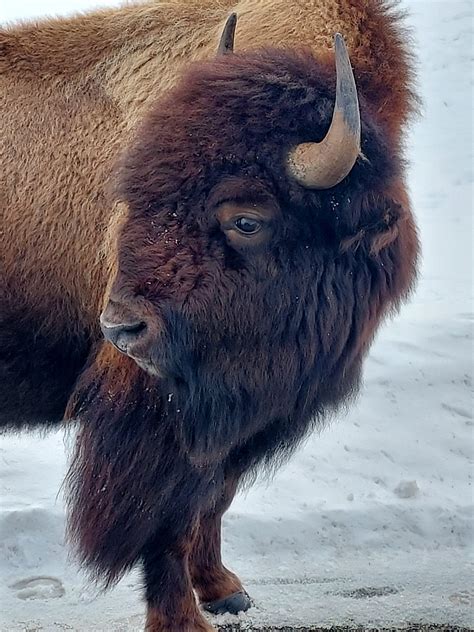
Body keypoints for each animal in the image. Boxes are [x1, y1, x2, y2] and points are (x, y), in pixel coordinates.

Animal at [1, 0, 418, 628]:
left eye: (246, 219)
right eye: (134, 195)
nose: (119, 327)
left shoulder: (245, 414)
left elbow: (215, 498)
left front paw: (224, 589)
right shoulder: (159, 416)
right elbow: (167, 520)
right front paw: (181, 618)